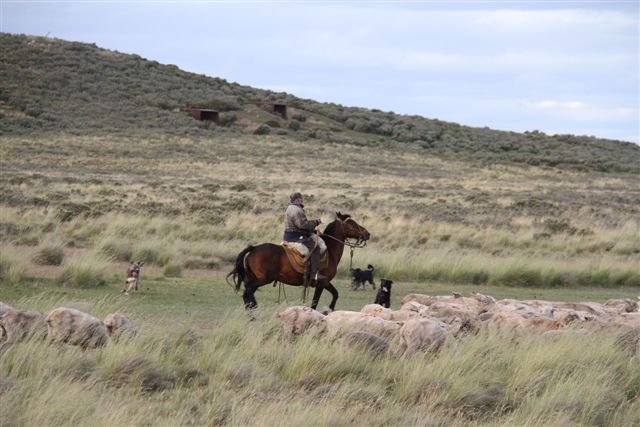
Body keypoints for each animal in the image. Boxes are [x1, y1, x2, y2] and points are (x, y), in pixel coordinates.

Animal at [229, 213, 370, 310]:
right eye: (351, 223)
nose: (367, 234)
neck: (329, 251)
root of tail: (253, 249)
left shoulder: (326, 282)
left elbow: (335, 294)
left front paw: (329, 309)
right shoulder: (321, 283)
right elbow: (315, 303)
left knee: (248, 294)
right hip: (263, 279)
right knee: (247, 292)